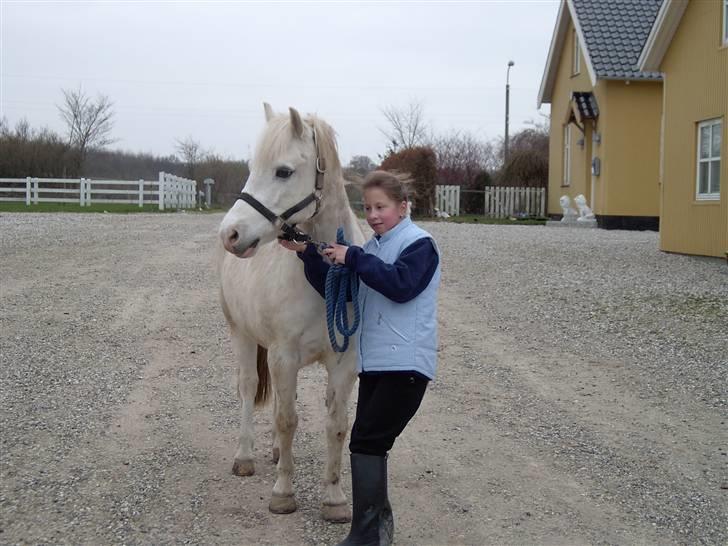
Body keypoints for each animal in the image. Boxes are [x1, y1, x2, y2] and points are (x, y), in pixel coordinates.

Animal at [217, 103, 365, 522]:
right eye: (252, 167)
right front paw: (283, 493)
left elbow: (336, 425)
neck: (324, 278)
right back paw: (246, 456)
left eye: (283, 171)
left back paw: (274, 452)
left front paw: (334, 498)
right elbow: (287, 420)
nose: (230, 233)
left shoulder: (344, 361)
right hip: (242, 335)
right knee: (249, 388)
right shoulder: (283, 356)